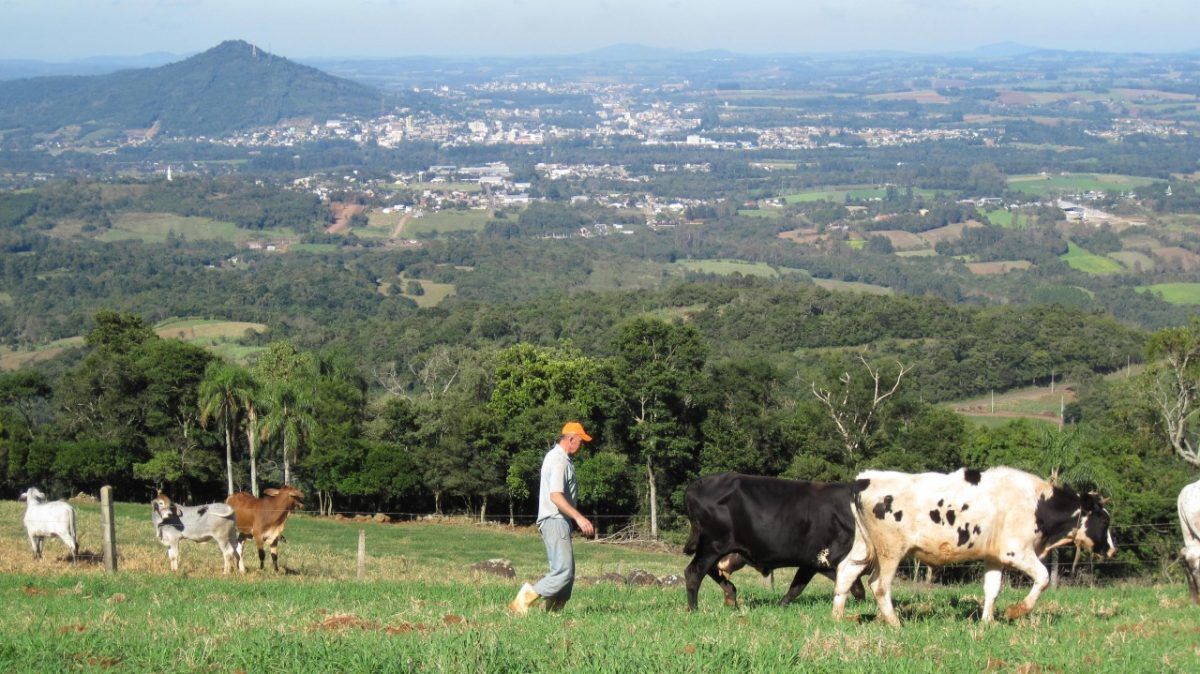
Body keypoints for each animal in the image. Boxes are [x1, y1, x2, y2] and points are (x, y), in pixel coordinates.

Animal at [681, 472, 868, 609]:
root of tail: (698, 484)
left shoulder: (811, 562)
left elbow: (796, 587)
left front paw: (781, 605)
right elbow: (856, 587)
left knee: (712, 570)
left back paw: (731, 596)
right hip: (713, 544)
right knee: (694, 572)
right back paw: (694, 609)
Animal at [835, 460, 1113, 623]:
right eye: (1104, 520)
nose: (1112, 549)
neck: (1036, 503)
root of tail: (864, 478)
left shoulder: (994, 556)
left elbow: (992, 589)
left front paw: (988, 622)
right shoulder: (1016, 552)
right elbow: (1044, 578)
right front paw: (1017, 610)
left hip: (864, 545)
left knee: (845, 571)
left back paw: (838, 617)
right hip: (891, 550)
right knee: (879, 585)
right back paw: (895, 623)